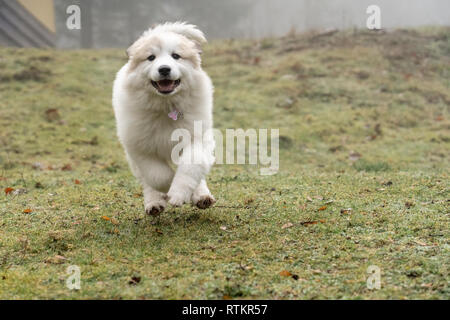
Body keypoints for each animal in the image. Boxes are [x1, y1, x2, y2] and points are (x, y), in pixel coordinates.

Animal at [114, 21, 216, 215]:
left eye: (176, 56)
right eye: (151, 58)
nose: (164, 69)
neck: (166, 106)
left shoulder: (197, 137)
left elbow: (191, 166)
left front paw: (178, 194)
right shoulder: (140, 148)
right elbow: (157, 176)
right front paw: (168, 191)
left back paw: (202, 196)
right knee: (146, 180)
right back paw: (154, 203)